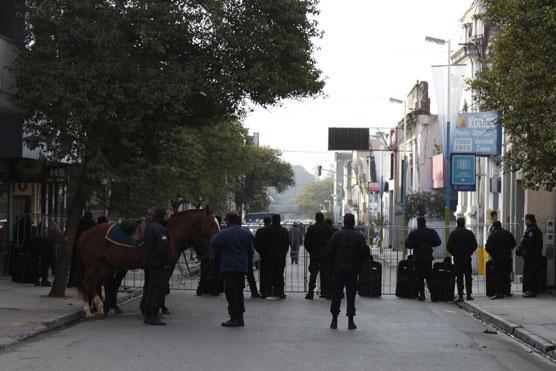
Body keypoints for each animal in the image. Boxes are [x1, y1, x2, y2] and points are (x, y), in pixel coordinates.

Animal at [77, 208, 219, 318]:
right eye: (212, 223)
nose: (212, 255)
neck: (169, 234)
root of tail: (86, 233)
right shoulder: (157, 266)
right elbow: (156, 285)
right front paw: (157, 309)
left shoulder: (151, 267)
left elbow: (149, 286)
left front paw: (147, 308)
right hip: (93, 265)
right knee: (87, 283)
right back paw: (89, 311)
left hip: (107, 266)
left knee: (97, 282)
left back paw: (101, 307)